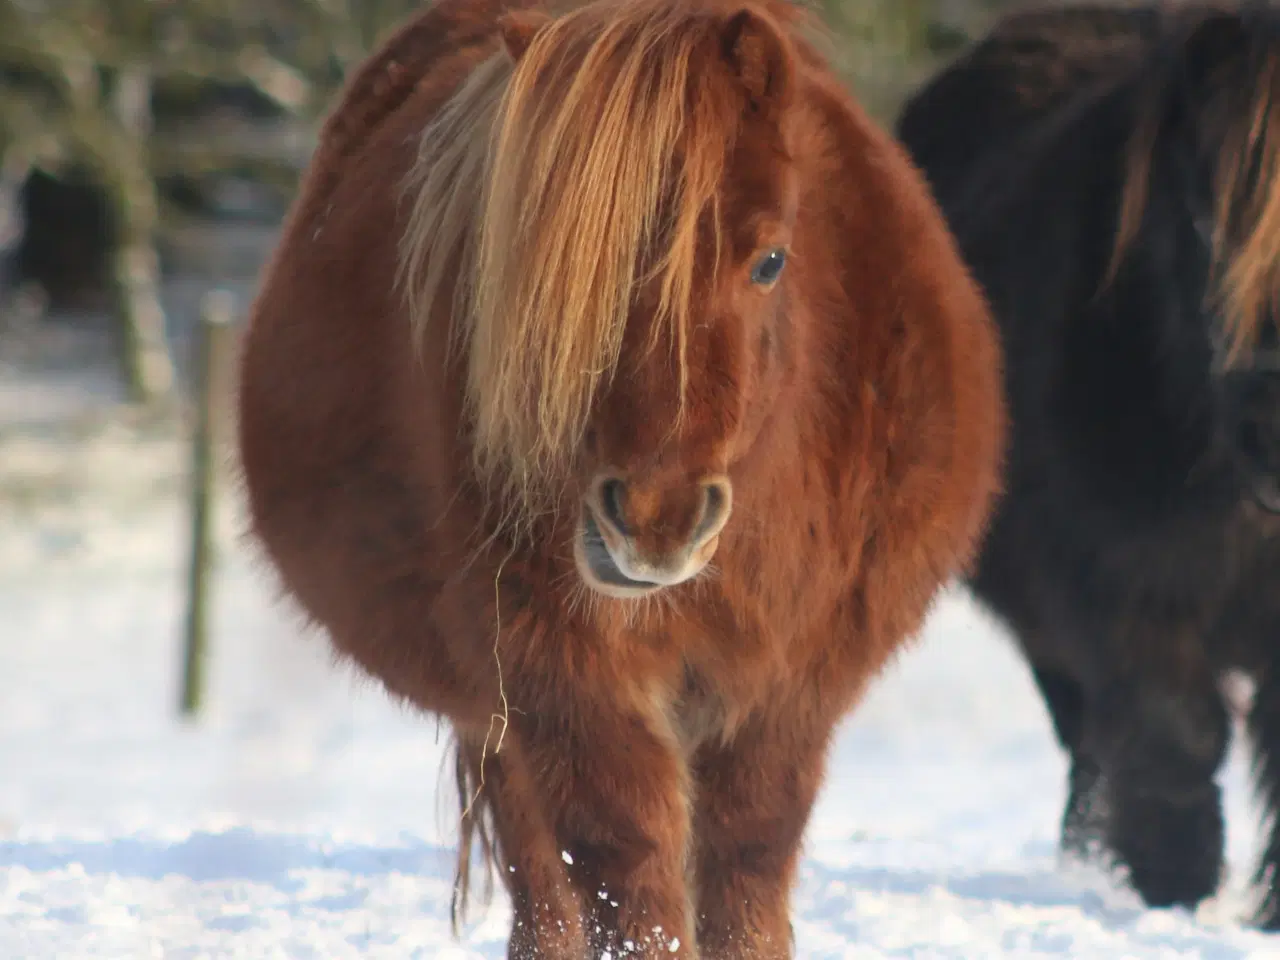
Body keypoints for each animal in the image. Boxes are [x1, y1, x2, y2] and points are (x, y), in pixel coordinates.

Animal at [235, 0, 1003, 957]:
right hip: (498, 718)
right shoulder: (568, 687)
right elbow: (630, 882)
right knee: (544, 890)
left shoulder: (787, 694)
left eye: (771, 259)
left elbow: (746, 875)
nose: (654, 520)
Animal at [896, 1, 1280, 931]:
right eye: (1206, 219)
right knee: (1088, 740)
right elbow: (1171, 733)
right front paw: (1170, 889)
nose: (1271, 427)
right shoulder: (1118, 589)